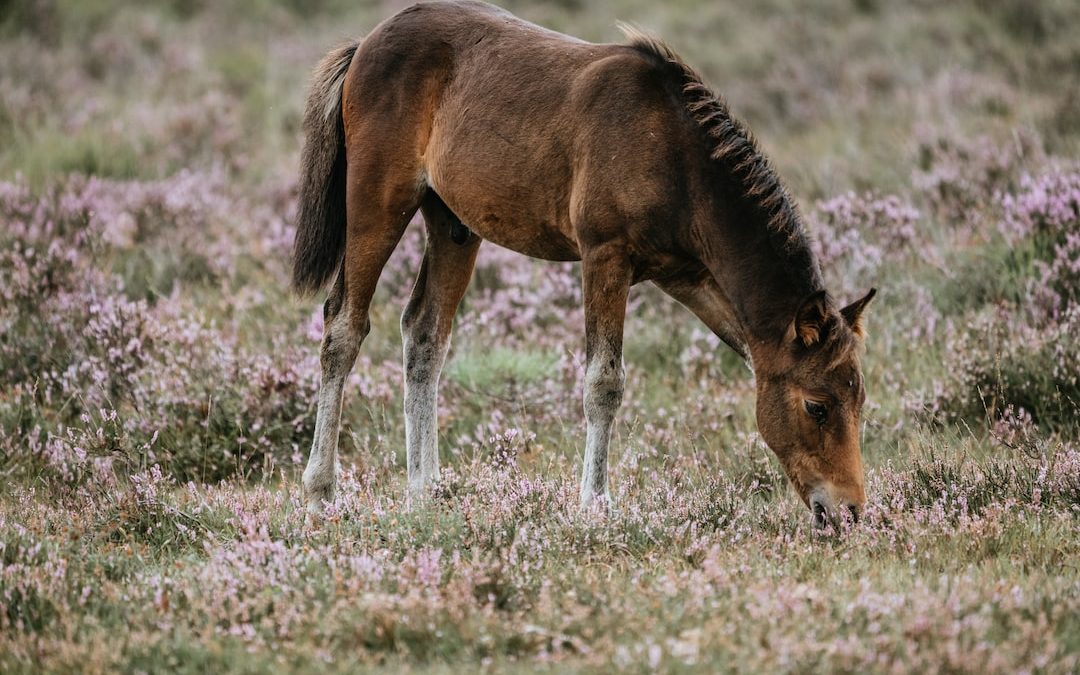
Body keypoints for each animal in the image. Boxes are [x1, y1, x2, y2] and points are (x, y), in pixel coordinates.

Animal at [293, 0, 876, 527]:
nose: (848, 512)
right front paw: (596, 504)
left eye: (860, 401)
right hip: (377, 208)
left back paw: (424, 493)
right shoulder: (604, 257)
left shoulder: (691, 279)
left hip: (454, 225)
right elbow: (604, 383)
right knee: (344, 329)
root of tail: (364, 45)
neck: (674, 156)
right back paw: (321, 493)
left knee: (424, 335)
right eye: (817, 406)